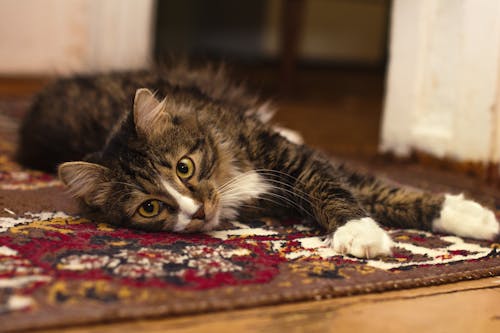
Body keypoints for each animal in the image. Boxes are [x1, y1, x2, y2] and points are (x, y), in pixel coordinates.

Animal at [17, 63, 498, 258]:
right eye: (150, 207)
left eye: (184, 167)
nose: (198, 212)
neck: (228, 174)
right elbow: (369, 191)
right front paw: (364, 233)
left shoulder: (292, 160)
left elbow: (364, 187)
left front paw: (474, 217)